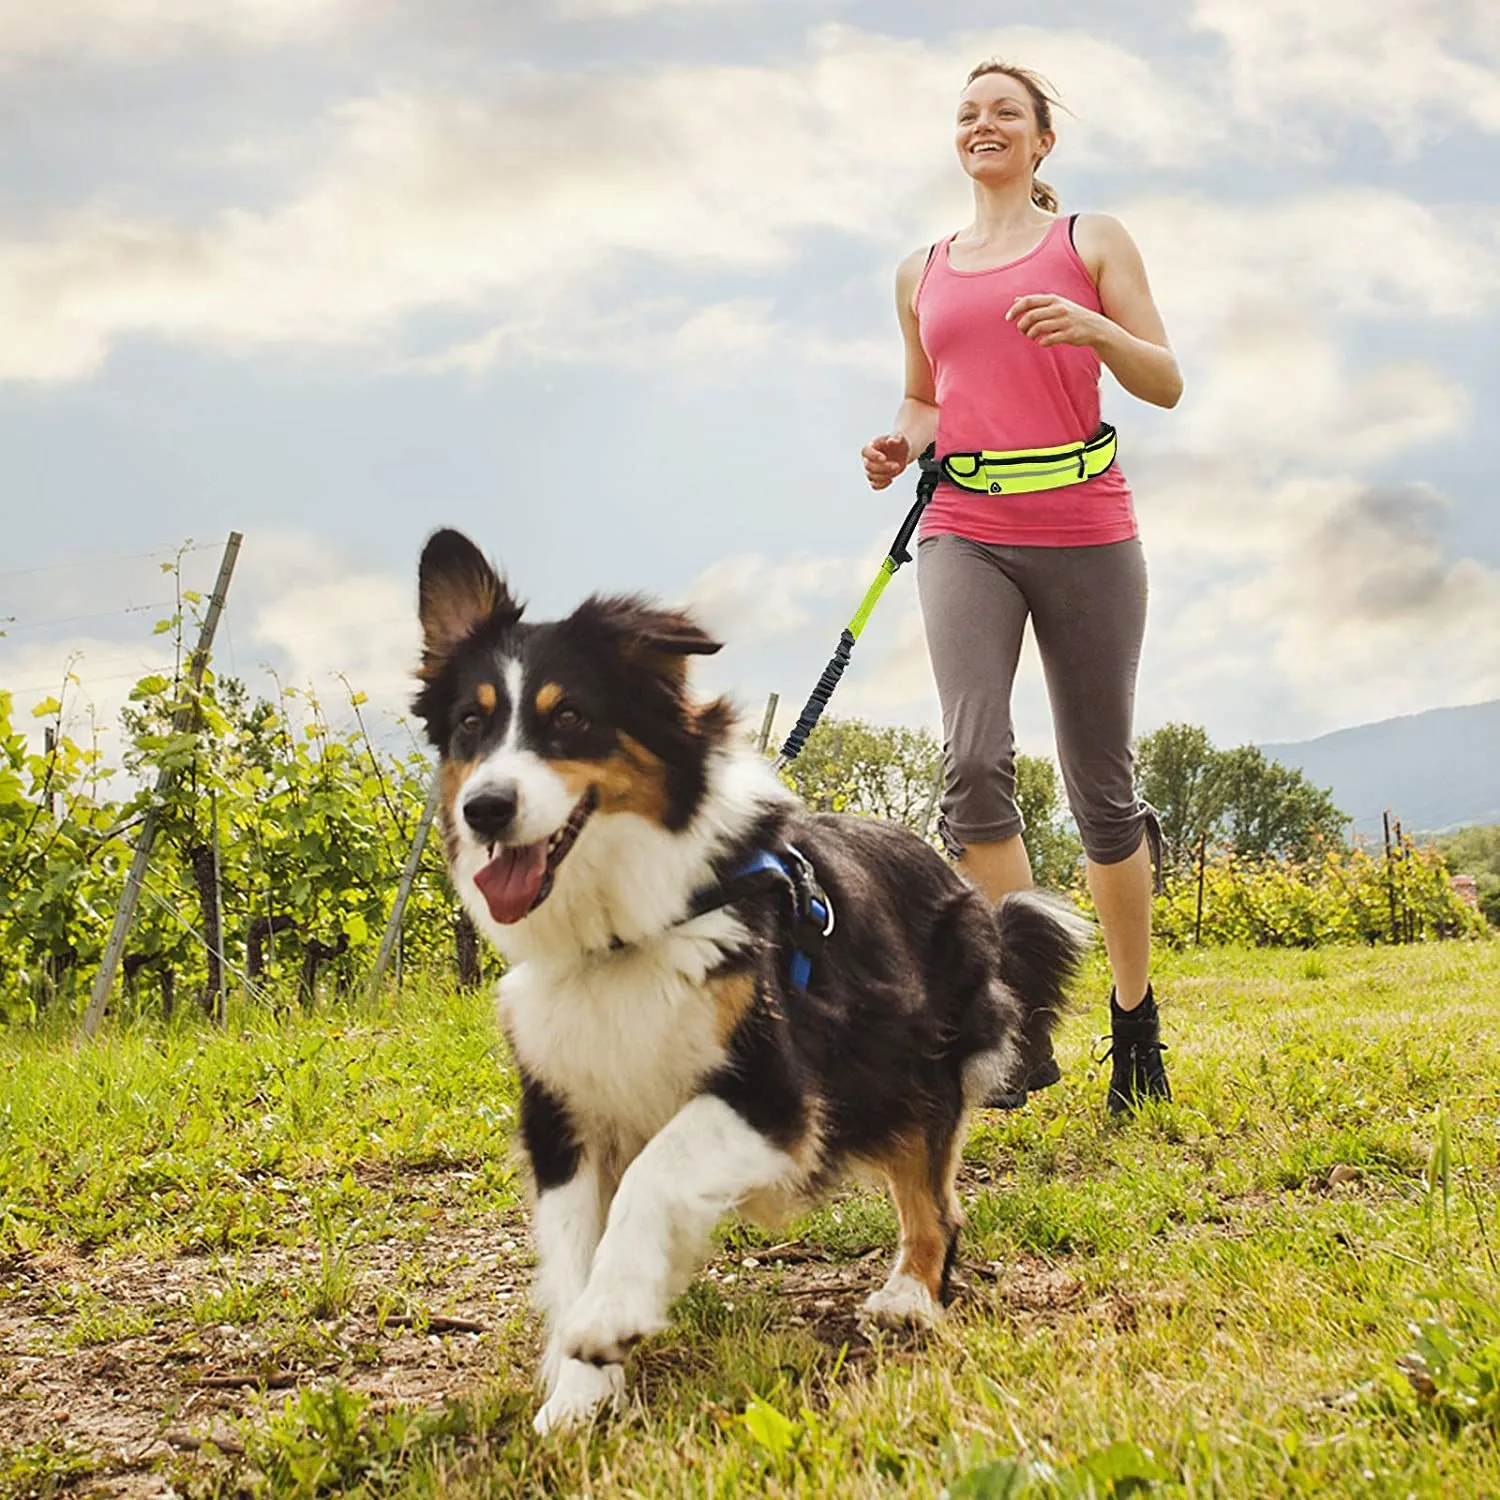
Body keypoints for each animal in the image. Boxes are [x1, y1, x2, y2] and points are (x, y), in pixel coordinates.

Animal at [411, 528, 1092, 1428]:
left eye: (571, 718)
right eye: (470, 724)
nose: (484, 810)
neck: (625, 928)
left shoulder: (774, 1093)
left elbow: (654, 1177)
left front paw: (608, 1319)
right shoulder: (561, 1107)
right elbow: (572, 1248)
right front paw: (579, 1392)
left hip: (911, 1068)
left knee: (936, 1202)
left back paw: (910, 1295)